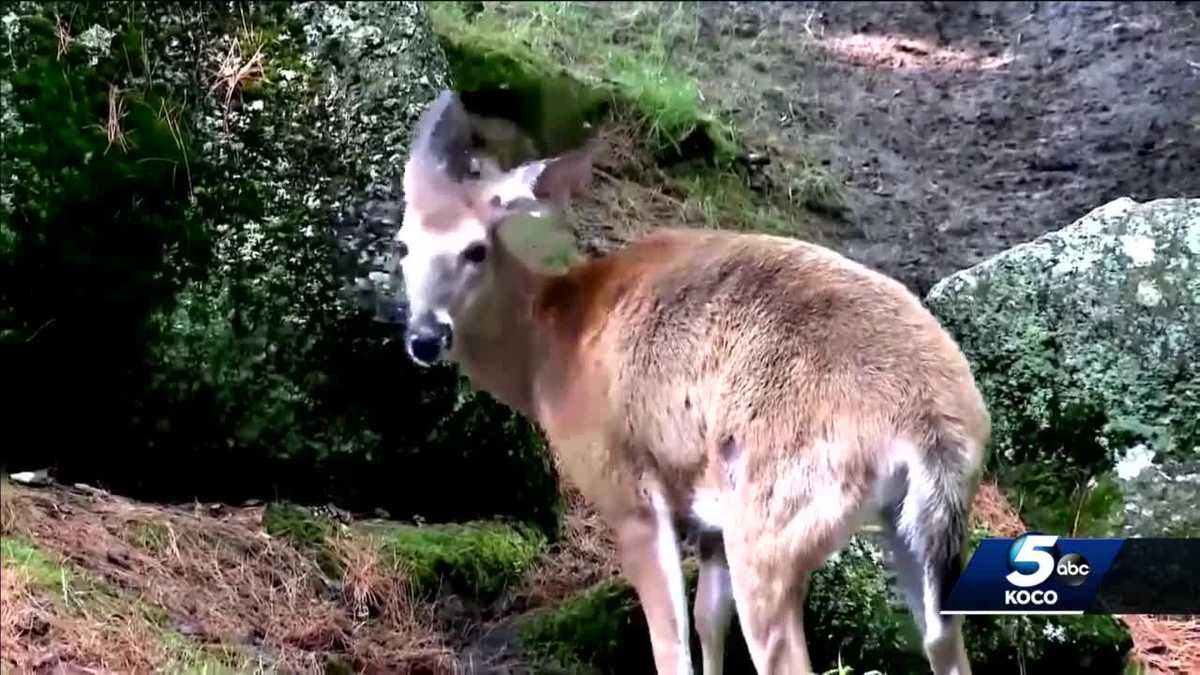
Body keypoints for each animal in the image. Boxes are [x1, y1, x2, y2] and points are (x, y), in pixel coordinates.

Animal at [389, 90, 991, 675]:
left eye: (475, 250)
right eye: (401, 245)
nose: (424, 337)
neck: (549, 348)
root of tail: (935, 423)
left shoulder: (624, 483)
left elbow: (672, 644)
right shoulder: (709, 514)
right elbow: (708, 619)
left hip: (775, 516)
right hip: (908, 528)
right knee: (944, 641)